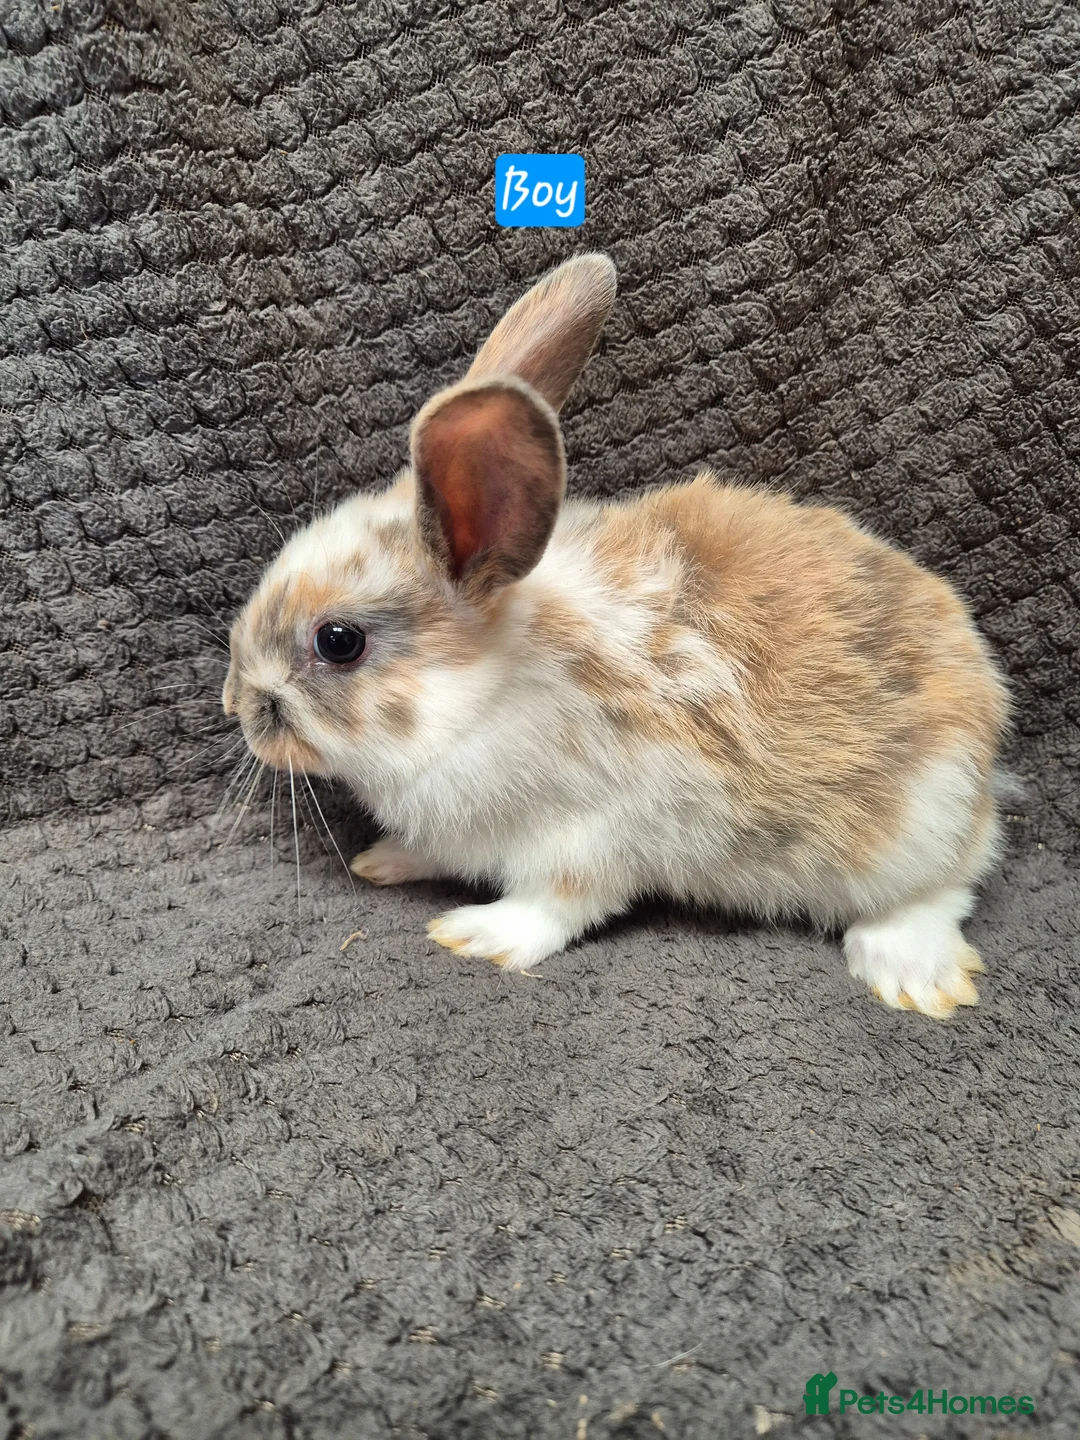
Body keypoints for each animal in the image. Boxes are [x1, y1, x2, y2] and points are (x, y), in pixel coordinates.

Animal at [223, 252, 1010, 1019]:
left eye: (338, 641)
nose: (237, 705)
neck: (479, 700)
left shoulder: (593, 833)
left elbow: (557, 905)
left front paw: (477, 936)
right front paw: (385, 860)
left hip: (919, 821)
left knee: (945, 887)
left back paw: (914, 976)